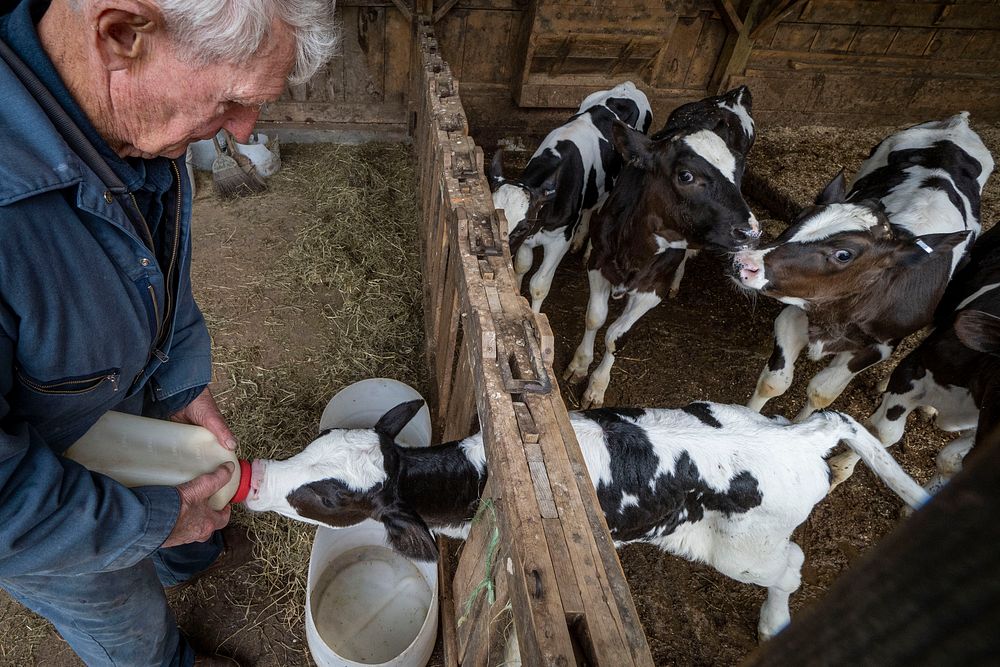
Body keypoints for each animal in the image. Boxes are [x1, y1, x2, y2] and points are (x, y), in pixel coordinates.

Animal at [244, 400, 928, 644]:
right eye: (317, 441)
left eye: (330, 498)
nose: (260, 479)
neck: (474, 472)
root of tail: (807, 434)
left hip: (745, 548)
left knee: (792, 565)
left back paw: (774, 622)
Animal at [486, 80, 656, 314]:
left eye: (521, 226)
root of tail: (628, 86)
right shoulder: (529, 239)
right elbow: (522, 267)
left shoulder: (559, 240)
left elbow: (539, 285)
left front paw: (535, 315)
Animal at [564, 86, 756, 410]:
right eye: (686, 175)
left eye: (739, 174)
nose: (750, 230)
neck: (633, 252)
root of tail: (729, 97)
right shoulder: (600, 266)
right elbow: (595, 318)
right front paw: (579, 365)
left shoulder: (653, 289)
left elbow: (616, 337)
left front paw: (597, 387)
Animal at [732, 112, 996, 420]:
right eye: (799, 217)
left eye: (843, 254)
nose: (745, 263)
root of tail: (958, 123)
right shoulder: (799, 309)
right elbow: (774, 382)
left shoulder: (878, 347)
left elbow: (822, 393)